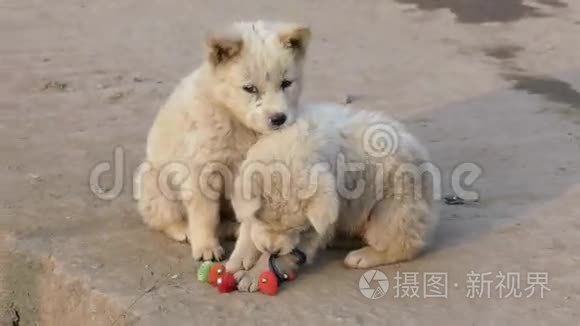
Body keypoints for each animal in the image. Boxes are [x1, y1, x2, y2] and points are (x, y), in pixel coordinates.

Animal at [224, 103, 438, 292]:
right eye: (261, 221)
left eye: (296, 229)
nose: (273, 250)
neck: (292, 151)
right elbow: (248, 226)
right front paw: (240, 258)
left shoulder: (318, 220)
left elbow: (293, 250)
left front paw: (256, 275)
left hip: (392, 205)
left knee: (403, 243)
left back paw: (363, 256)